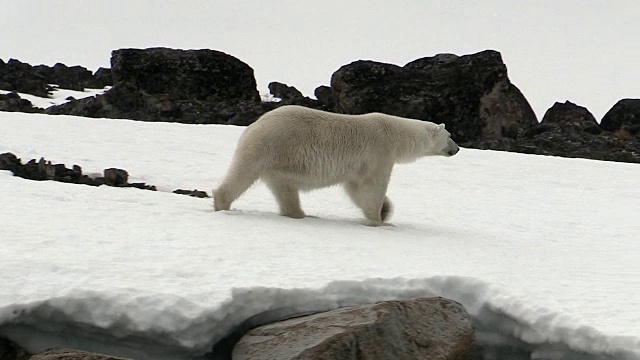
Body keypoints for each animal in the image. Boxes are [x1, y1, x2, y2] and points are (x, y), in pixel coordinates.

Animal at [215, 104, 460, 222]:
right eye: (449, 135)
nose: (457, 149)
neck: (395, 135)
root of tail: (255, 125)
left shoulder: (359, 166)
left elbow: (355, 189)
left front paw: (385, 210)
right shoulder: (379, 153)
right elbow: (372, 187)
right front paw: (380, 218)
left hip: (279, 163)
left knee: (284, 189)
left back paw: (300, 214)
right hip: (269, 146)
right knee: (243, 173)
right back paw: (221, 202)